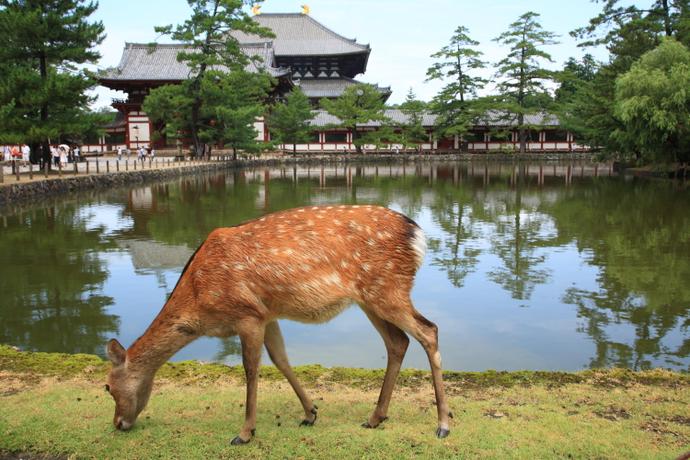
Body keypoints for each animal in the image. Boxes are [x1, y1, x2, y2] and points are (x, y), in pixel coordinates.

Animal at [105, 205, 451, 445]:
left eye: (107, 386)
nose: (118, 423)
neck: (200, 303)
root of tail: (418, 235)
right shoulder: (267, 314)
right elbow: (281, 360)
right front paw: (310, 413)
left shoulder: (246, 314)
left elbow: (251, 368)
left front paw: (244, 432)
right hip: (371, 297)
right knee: (398, 341)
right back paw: (375, 417)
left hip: (388, 289)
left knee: (429, 330)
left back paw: (443, 424)